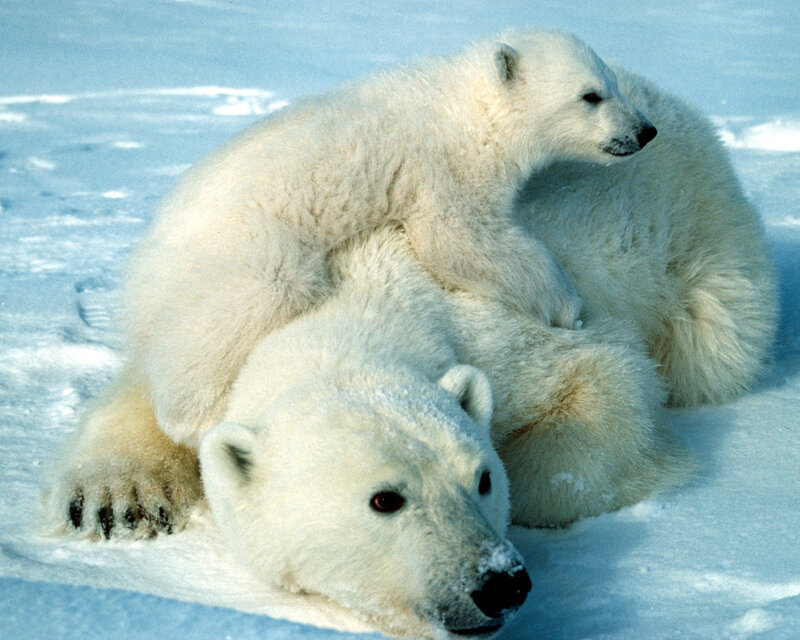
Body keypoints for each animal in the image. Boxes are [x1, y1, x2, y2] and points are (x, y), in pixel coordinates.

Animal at [122, 29, 657, 446]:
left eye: (613, 83)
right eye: (591, 95)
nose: (645, 131)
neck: (467, 107)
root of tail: (143, 265)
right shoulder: (446, 166)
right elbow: (458, 239)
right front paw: (567, 305)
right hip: (243, 249)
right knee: (247, 305)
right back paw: (196, 417)